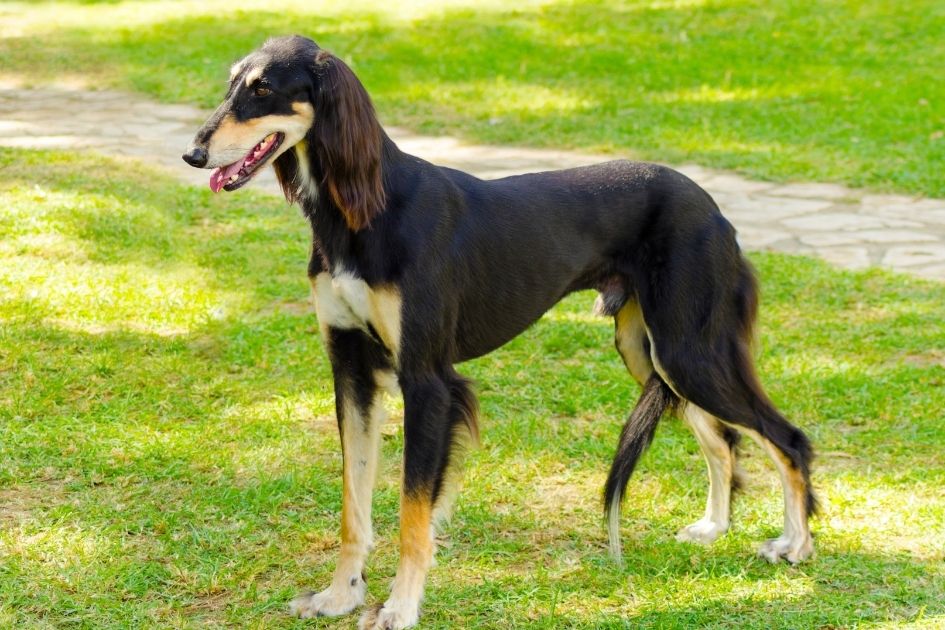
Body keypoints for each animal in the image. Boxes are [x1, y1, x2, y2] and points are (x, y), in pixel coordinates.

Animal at [184, 35, 820, 630]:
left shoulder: (427, 381)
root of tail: (714, 209)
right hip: (652, 353)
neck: (364, 210)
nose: (193, 153)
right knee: (724, 439)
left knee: (786, 438)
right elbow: (353, 502)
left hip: (688, 349)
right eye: (232, 84)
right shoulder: (351, 369)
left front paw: (400, 606)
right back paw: (714, 526)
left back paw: (795, 544)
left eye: (264, 89)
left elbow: (413, 513)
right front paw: (342, 595)